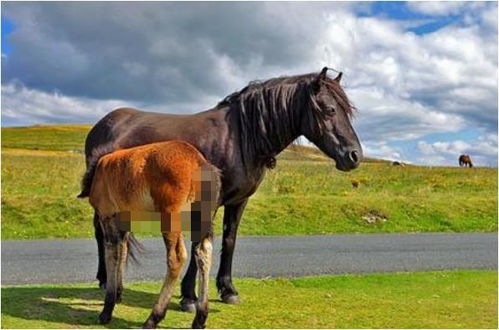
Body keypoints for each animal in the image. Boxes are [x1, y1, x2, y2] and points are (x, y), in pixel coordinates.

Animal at [87, 141, 221, 328]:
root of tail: (199, 162)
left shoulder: (108, 216)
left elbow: (112, 254)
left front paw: (107, 310)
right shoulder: (124, 223)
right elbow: (123, 252)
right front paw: (118, 294)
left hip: (170, 219)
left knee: (176, 258)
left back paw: (153, 317)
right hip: (200, 222)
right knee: (203, 251)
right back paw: (200, 318)